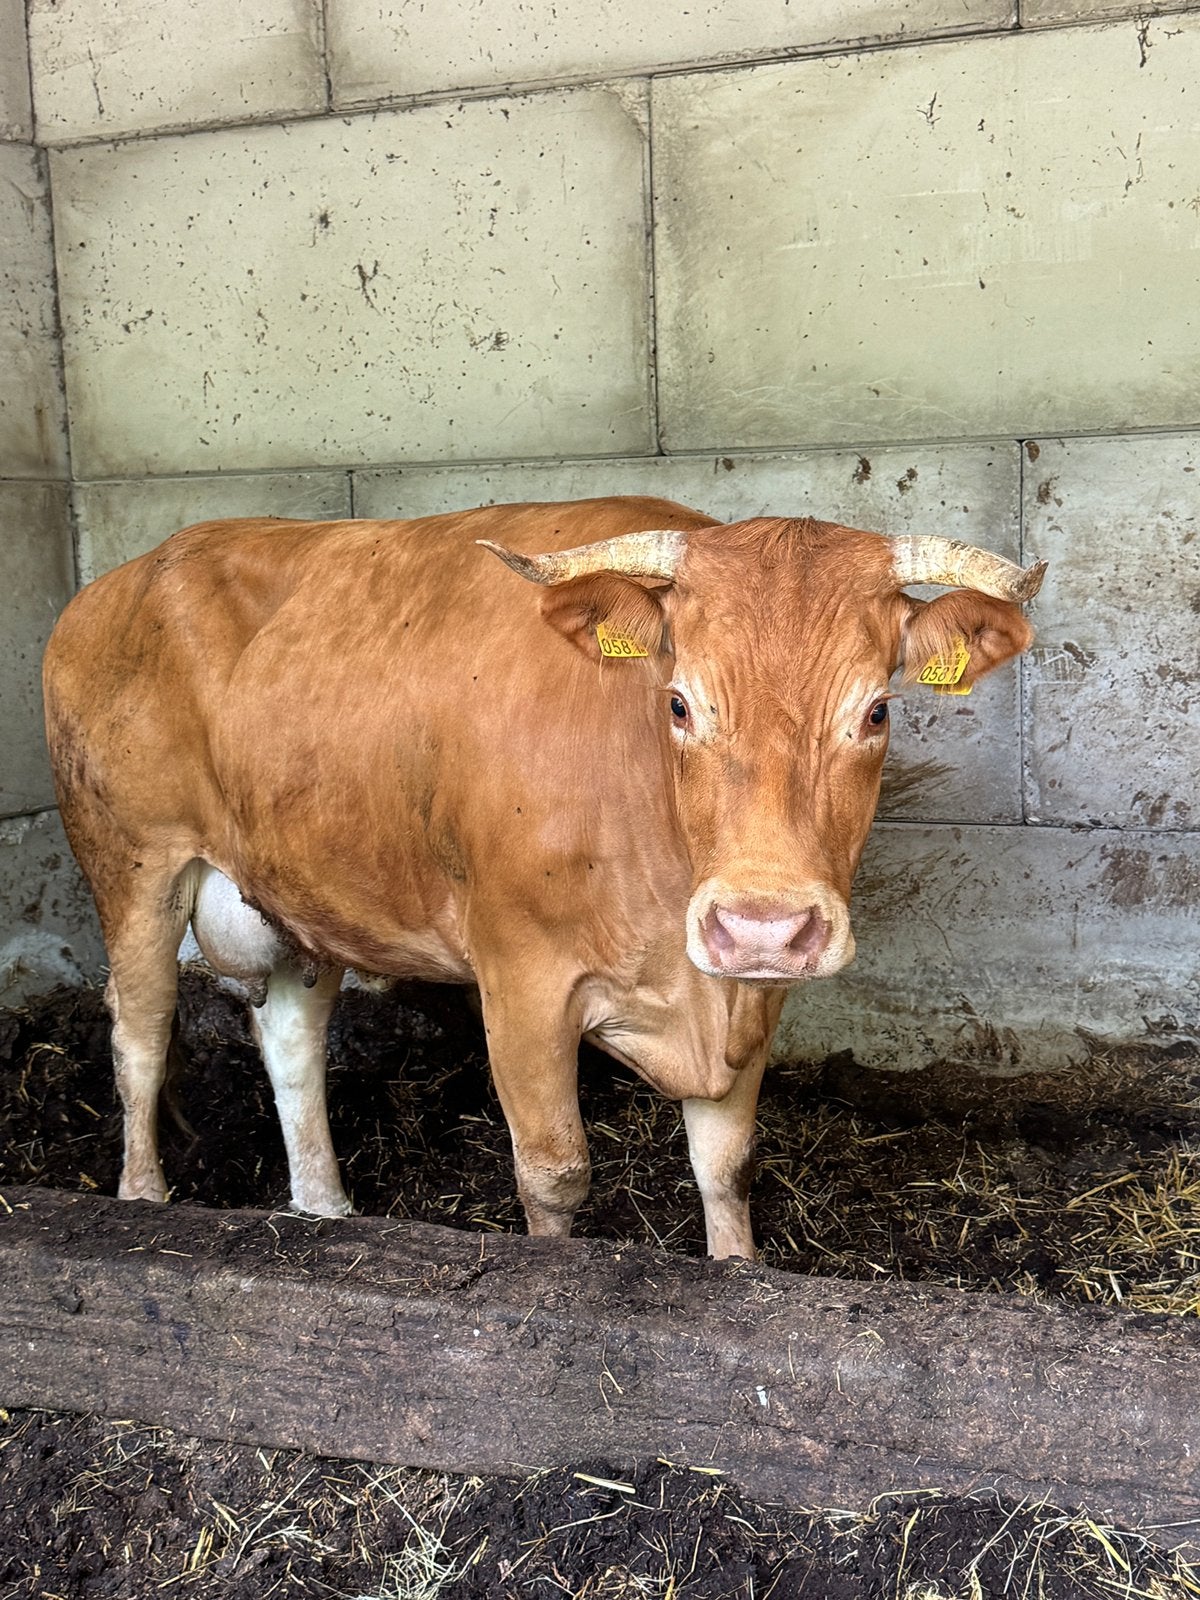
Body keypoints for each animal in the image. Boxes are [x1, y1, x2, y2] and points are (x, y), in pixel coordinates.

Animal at [43, 497, 1044, 1258]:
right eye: (679, 703)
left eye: (875, 711)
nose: (763, 925)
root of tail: (120, 579)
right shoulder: (521, 979)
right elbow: (554, 1173)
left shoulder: (748, 995)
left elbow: (727, 1166)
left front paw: (739, 1270)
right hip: (132, 864)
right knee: (140, 1035)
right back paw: (143, 1198)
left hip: (298, 893)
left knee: (292, 1044)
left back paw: (325, 1211)